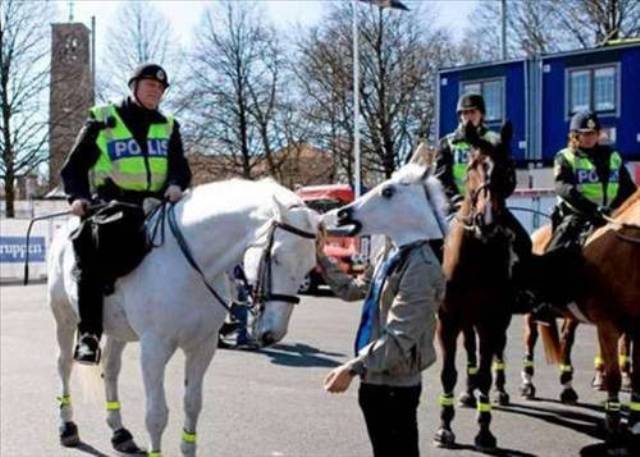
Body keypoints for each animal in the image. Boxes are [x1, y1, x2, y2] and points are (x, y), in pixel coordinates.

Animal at [47, 179, 320, 456]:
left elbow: (192, 404)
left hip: (117, 330)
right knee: (63, 365)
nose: (272, 333)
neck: (191, 267)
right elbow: (156, 415)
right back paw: (67, 426)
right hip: (64, 319)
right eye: (275, 257)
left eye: (309, 266)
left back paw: (119, 432)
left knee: (111, 368)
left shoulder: (203, 346)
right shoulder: (154, 349)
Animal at [436, 122, 520, 452]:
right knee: (470, 351)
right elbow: (448, 373)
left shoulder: (492, 319)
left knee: (497, 352)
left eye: (507, 168)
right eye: (472, 165)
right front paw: (444, 428)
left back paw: (499, 391)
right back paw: (467, 393)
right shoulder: (448, 320)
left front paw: (485, 431)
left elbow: (485, 372)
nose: (487, 220)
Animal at [540, 190, 640, 452]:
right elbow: (614, 377)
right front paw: (614, 430)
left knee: (566, 339)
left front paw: (635, 422)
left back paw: (567, 387)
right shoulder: (607, 325)